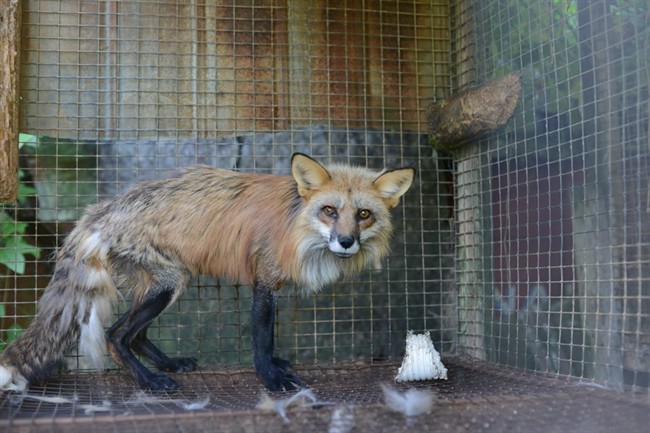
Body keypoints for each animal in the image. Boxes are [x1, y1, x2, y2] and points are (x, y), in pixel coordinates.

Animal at [0, 153, 414, 392]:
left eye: (363, 214)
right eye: (329, 210)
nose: (346, 241)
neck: (296, 226)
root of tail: (100, 211)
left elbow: (269, 339)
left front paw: (276, 368)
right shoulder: (264, 282)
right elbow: (262, 340)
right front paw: (270, 378)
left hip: (169, 283)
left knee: (136, 334)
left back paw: (168, 363)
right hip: (167, 285)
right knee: (116, 335)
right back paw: (150, 380)